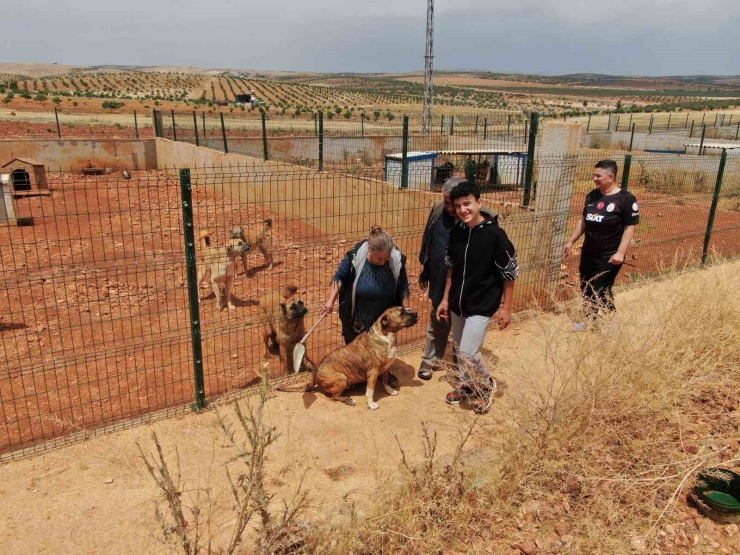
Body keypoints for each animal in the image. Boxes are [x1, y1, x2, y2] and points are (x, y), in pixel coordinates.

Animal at [278, 306, 420, 410]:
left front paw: (389, 390)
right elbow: (370, 390)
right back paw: (349, 400)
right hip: (341, 378)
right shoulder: (373, 372)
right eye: (402, 313)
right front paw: (371, 404)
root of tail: (314, 375)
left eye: (406, 309)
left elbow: (385, 381)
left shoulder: (385, 368)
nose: (417, 313)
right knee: (333, 397)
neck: (386, 336)